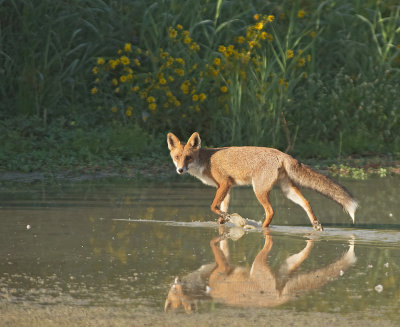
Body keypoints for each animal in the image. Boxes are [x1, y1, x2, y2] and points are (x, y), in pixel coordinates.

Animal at [167, 133, 358, 231]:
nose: (180, 170)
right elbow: (222, 208)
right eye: (177, 157)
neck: (205, 161)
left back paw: (263, 228)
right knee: (306, 202)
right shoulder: (227, 187)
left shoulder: (224, 183)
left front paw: (227, 218)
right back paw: (316, 224)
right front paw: (223, 221)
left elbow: (213, 206)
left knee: (271, 211)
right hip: (287, 190)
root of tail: (282, 153)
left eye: (188, 158)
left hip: (258, 190)